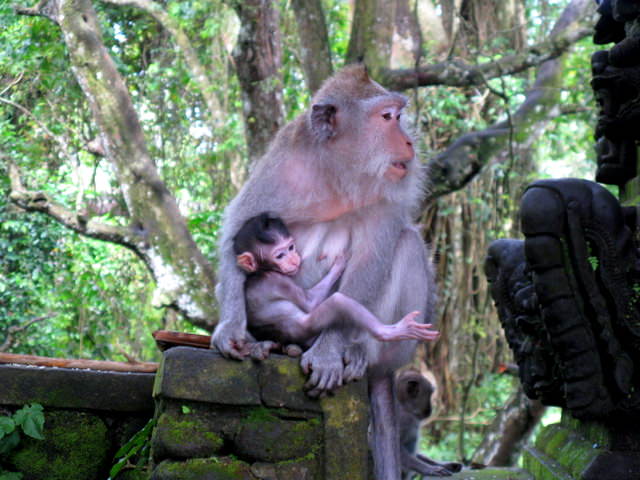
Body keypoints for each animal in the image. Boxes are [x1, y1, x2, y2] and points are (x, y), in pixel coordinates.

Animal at [234, 213, 440, 348]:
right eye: (280, 255)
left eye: (291, 247)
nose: (293, 260)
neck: (260, 271)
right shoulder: (277, 281)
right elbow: (310, 302)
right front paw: (340, 263)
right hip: (305, 329)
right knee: (337, 302)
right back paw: (391, 332)